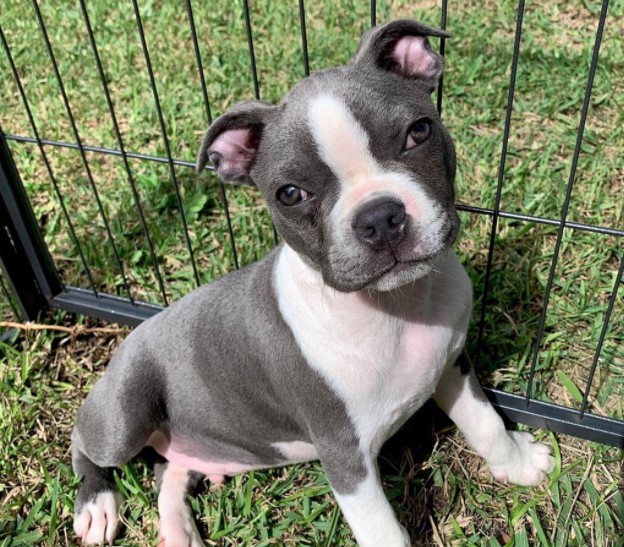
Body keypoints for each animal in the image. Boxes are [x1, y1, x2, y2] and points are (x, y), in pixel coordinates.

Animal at [70, 18, 552, 547]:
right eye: (290, 194)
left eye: (418, 132)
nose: (379, 218)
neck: (394, 307)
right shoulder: (345, 457)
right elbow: (384, 531)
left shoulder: (452, 363)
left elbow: (485, 422)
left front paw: (520, 463)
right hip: (124, 412)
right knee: (86, 440)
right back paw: (96, 505)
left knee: (169, 471)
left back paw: (179, 530)